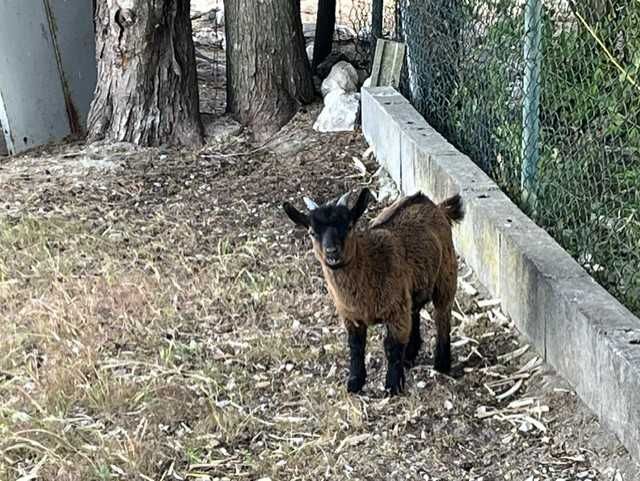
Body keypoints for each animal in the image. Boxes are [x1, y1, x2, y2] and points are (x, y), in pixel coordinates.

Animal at [282, 188, 464, 395]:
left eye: (349, 225)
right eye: (312, 232)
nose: (332, 252)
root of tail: (433, 204)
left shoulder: (395, 311)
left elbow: (392, 347)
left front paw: (393, 386)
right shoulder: (351, 316)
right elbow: (356, 347)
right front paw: (355, 382)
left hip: (446, 274)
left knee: (442, 315)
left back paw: (441, 364)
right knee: (415, 311)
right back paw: (410, 356)